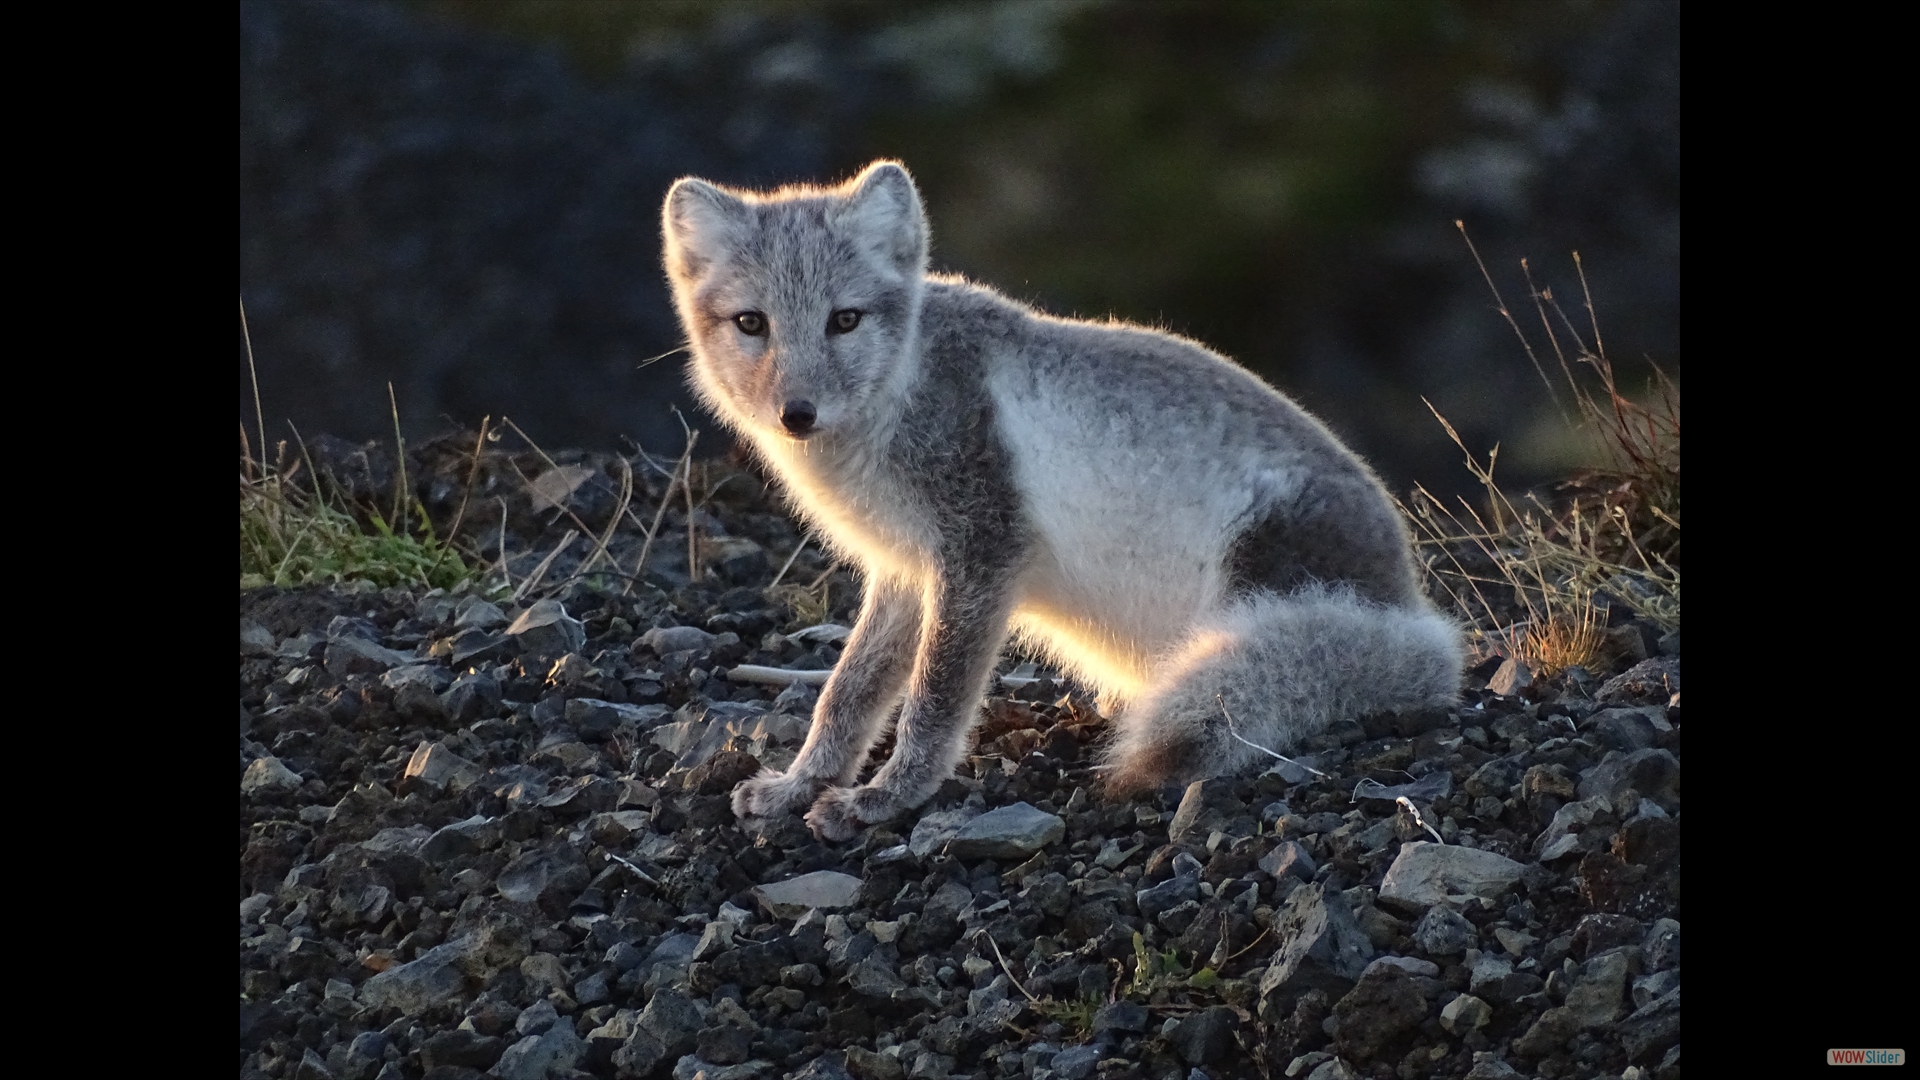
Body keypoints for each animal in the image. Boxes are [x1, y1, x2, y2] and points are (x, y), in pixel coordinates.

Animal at [660, 157, 1451, 841]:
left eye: (844, 320)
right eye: (752, 323)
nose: (797, 415)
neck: (903, 394)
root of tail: (1415, 614)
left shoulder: (981, 552)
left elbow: (935, 698)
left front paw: (886, 798)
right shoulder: (906, 570)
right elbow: (847, 694)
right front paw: (799, 786)